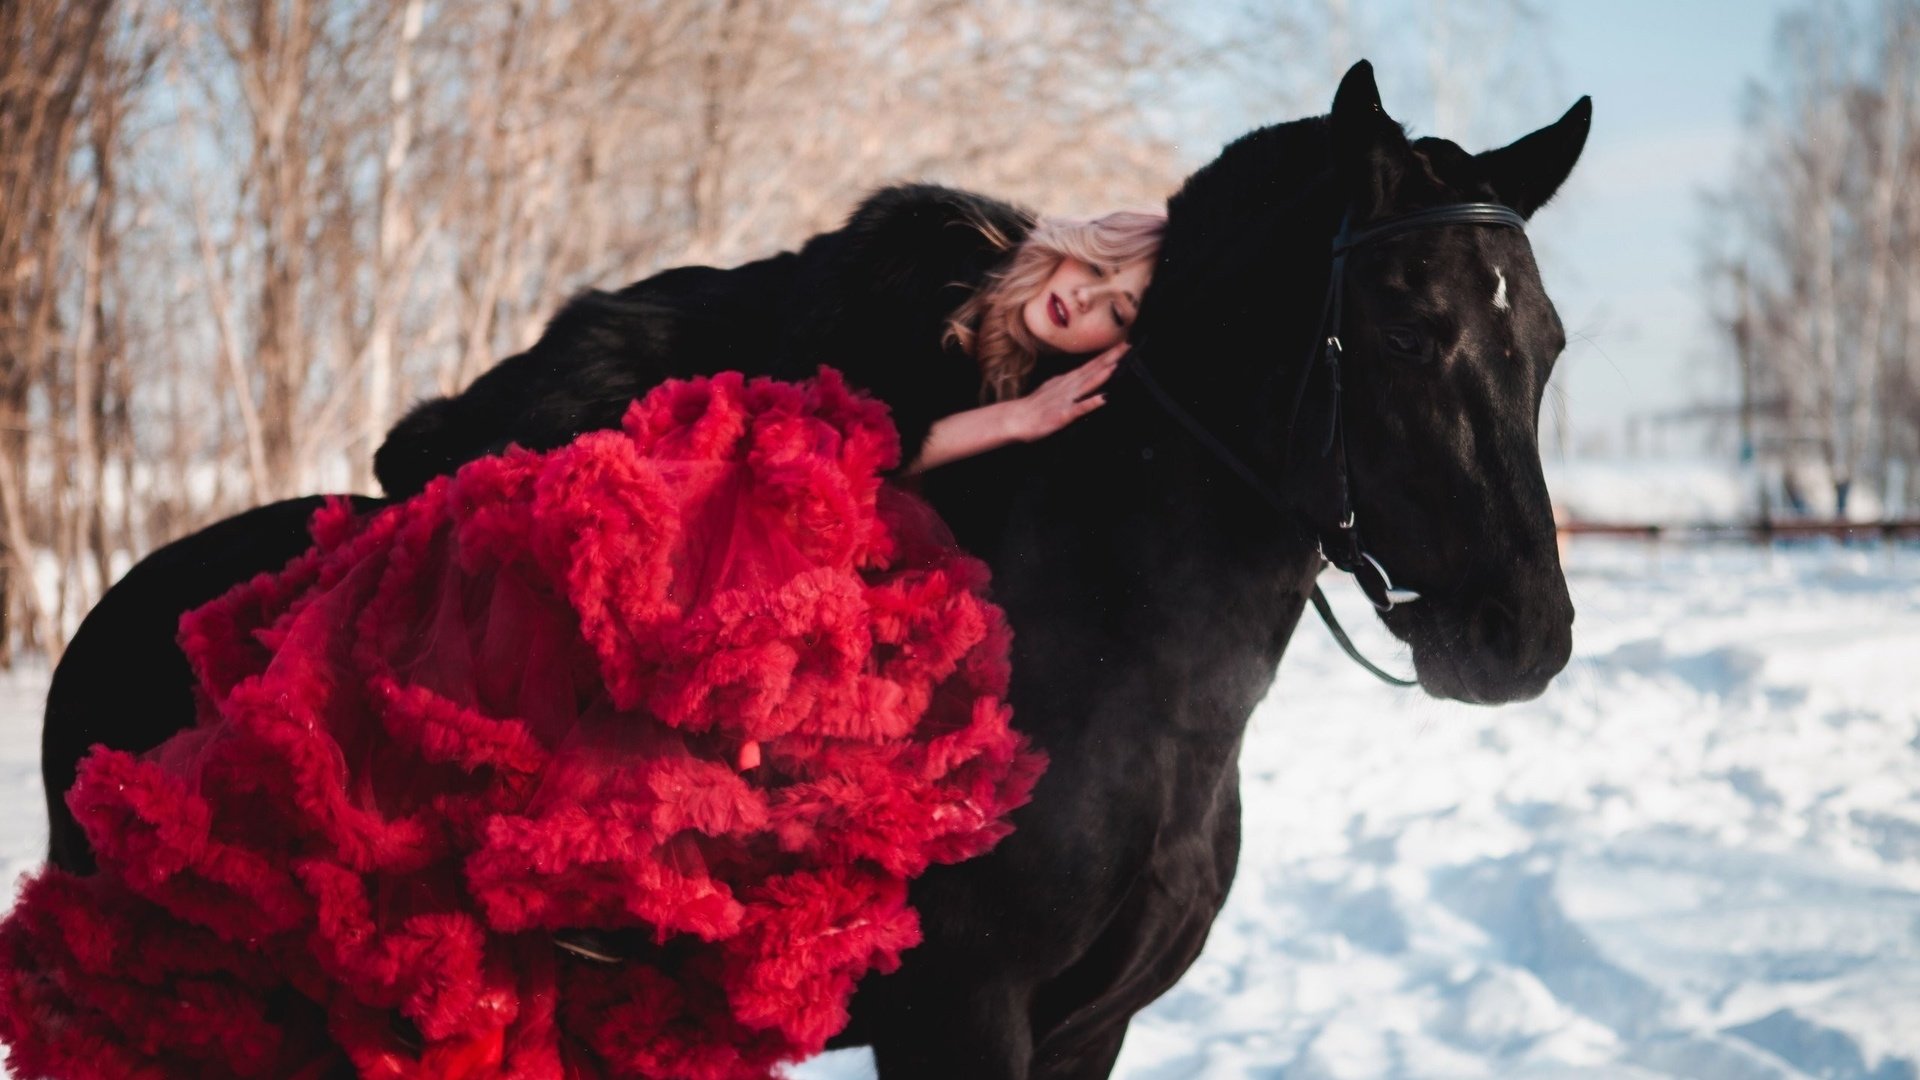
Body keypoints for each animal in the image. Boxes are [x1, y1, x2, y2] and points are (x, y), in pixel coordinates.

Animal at [37, 62, 1589, 1068]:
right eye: (1406, 328)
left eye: (1548, 341)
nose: (1522, 638)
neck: (1109, 680)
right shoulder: (958, 1020)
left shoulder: (1090, 1027)